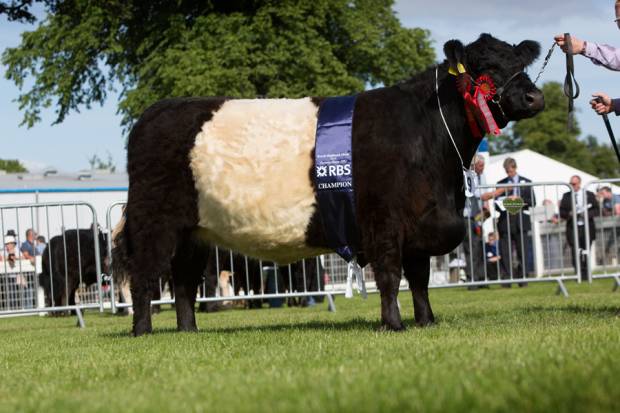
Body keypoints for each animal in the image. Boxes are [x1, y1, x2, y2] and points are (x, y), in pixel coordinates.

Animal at [116, 34, 544, 334]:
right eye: (484, 68)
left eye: (518, 61)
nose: (534, 96)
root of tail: (154, 113)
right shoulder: (384, 222)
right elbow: (391, 276)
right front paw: (394, 324)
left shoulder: (420, 223)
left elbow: (420, 278)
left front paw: (426, 321)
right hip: (154, 221)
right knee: (144, 276)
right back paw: (143, 331)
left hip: (194, 232)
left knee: (183, 281)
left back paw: (188, 330)